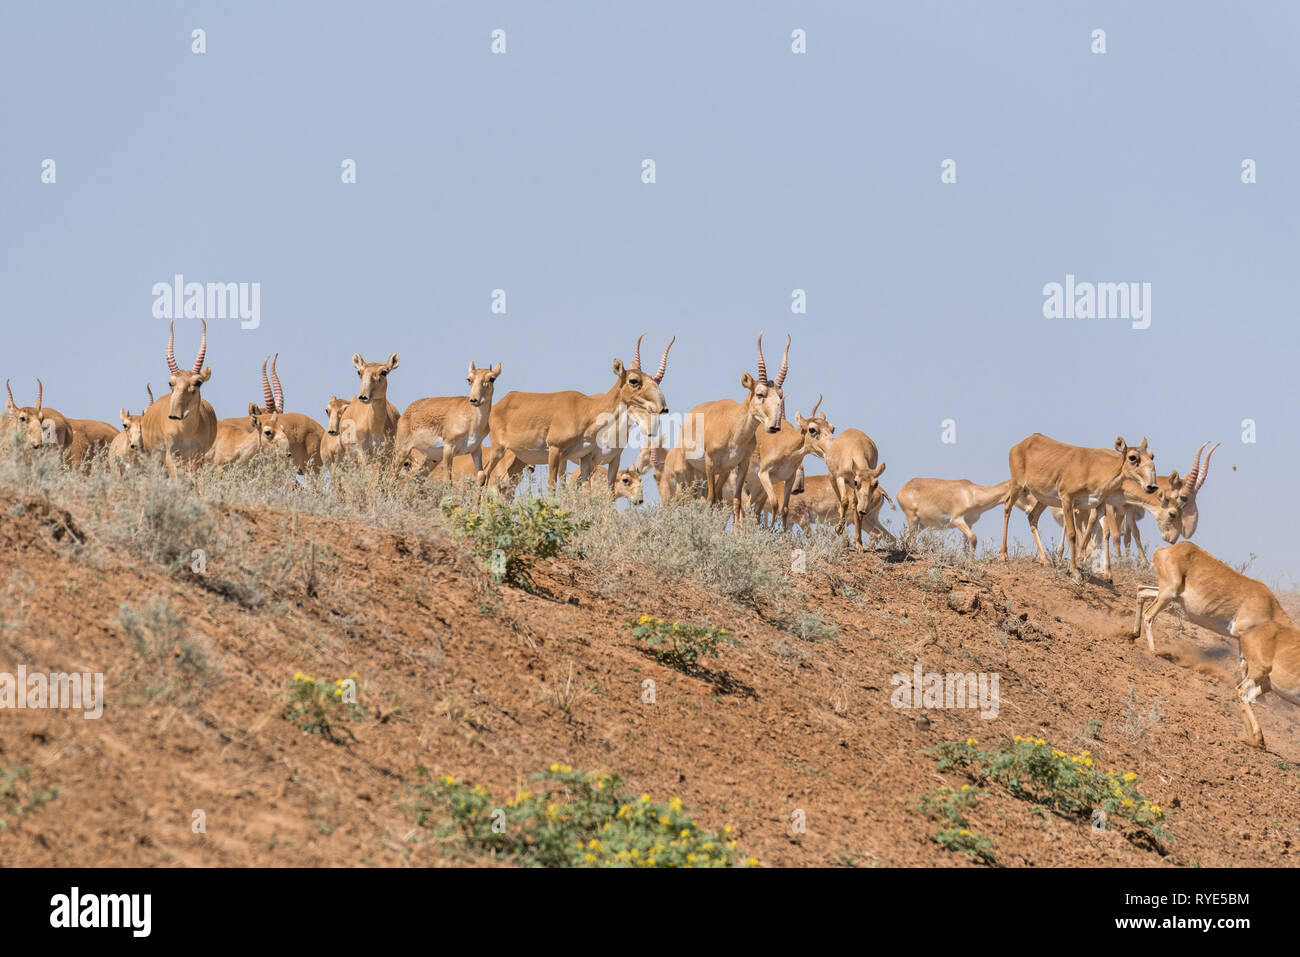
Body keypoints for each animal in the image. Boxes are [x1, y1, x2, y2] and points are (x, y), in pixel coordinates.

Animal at [140, 319, 217, 475]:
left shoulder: (198, 457)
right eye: (171, 383)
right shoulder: (171, 456)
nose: (175, 415)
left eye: (198, 382)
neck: (186, 431)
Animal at [483, 343, 676, 494]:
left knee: (502, 484)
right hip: (498, 450)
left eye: (652, 380)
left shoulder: (585, 458)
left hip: (519, 459)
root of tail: (501, 402)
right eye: (634, 380)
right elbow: (553, 488)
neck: (586, 410)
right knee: (485, 476)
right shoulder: (556, 451)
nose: (663, 407)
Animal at [1128, 540, 1300, 748]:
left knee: (1141, 591)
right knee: (1149, 615)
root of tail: (1167, 550)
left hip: (1167, 594)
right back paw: (1155, 651)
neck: (1268, 605)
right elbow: (1243, 669)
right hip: (1168, 594)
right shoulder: (1242, 636)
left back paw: (1132, 634)